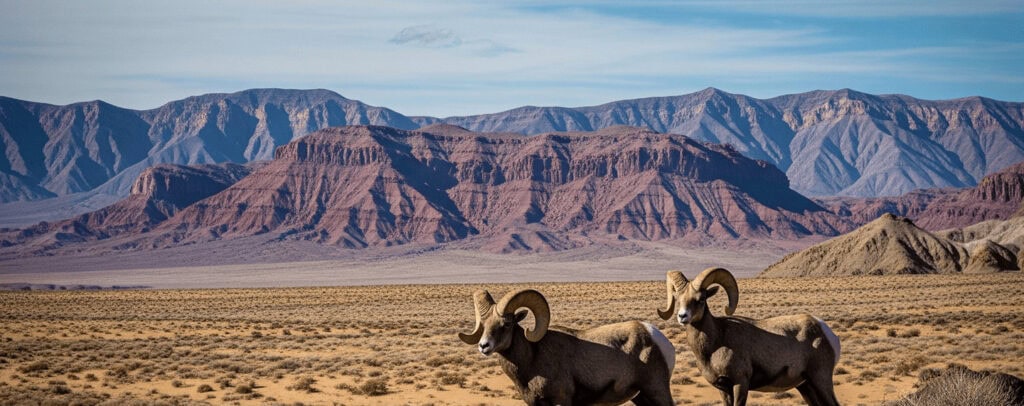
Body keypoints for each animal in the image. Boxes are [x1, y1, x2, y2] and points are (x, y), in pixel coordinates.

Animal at [459, 288, 676, 406]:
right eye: (484, 324)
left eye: (506, 324)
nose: (484, 346)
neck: (532, 359)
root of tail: (654, 335)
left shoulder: (560, 400)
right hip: (641, 397)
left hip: (657, 391)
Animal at [657, 267, 841, 406]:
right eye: (677, 298)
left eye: (701, 299)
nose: (682, 316)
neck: (715, 344)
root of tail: (824, 330)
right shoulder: (723, 389)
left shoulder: (740, 384)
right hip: (806, 386)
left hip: (820, 380)